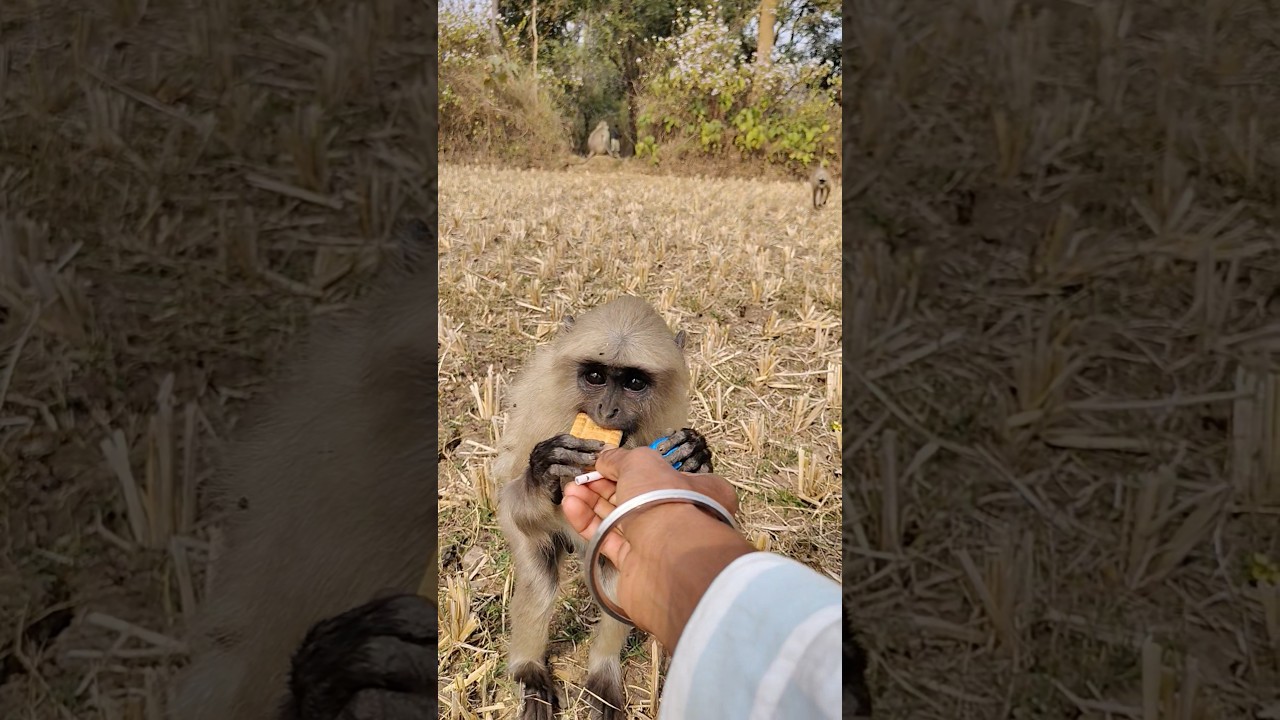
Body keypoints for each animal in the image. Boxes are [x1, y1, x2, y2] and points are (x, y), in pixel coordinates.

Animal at [494, 296, 714, 720]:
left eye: (633, 383)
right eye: (595, 376)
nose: (607, 410)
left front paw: (693, 457)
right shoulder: (540, 416)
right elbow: (513, 498)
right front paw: (545, 468)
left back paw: (603, 675)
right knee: (540, 578)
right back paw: (530, 673)